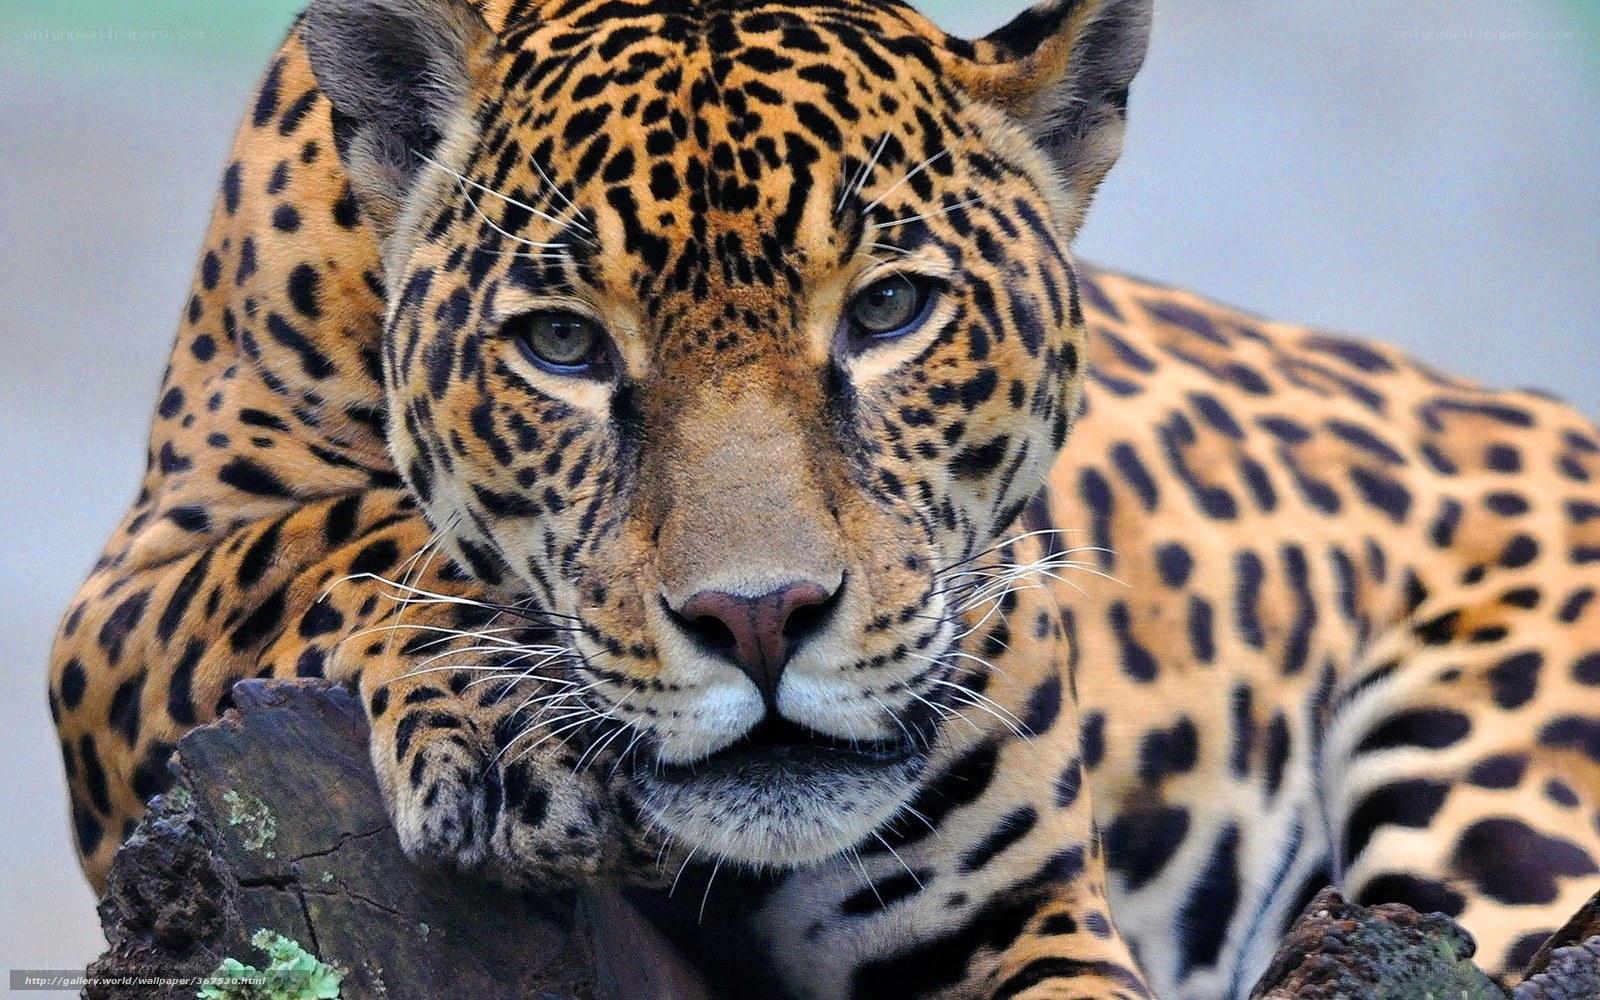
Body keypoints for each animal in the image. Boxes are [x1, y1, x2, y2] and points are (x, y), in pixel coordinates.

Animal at [48, 0, 1600, 997]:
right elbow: (337, 538)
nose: (762, 618)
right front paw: (506, 725)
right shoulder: (126, 597)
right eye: (562, 345)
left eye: (891, 312)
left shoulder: (1016, 916)